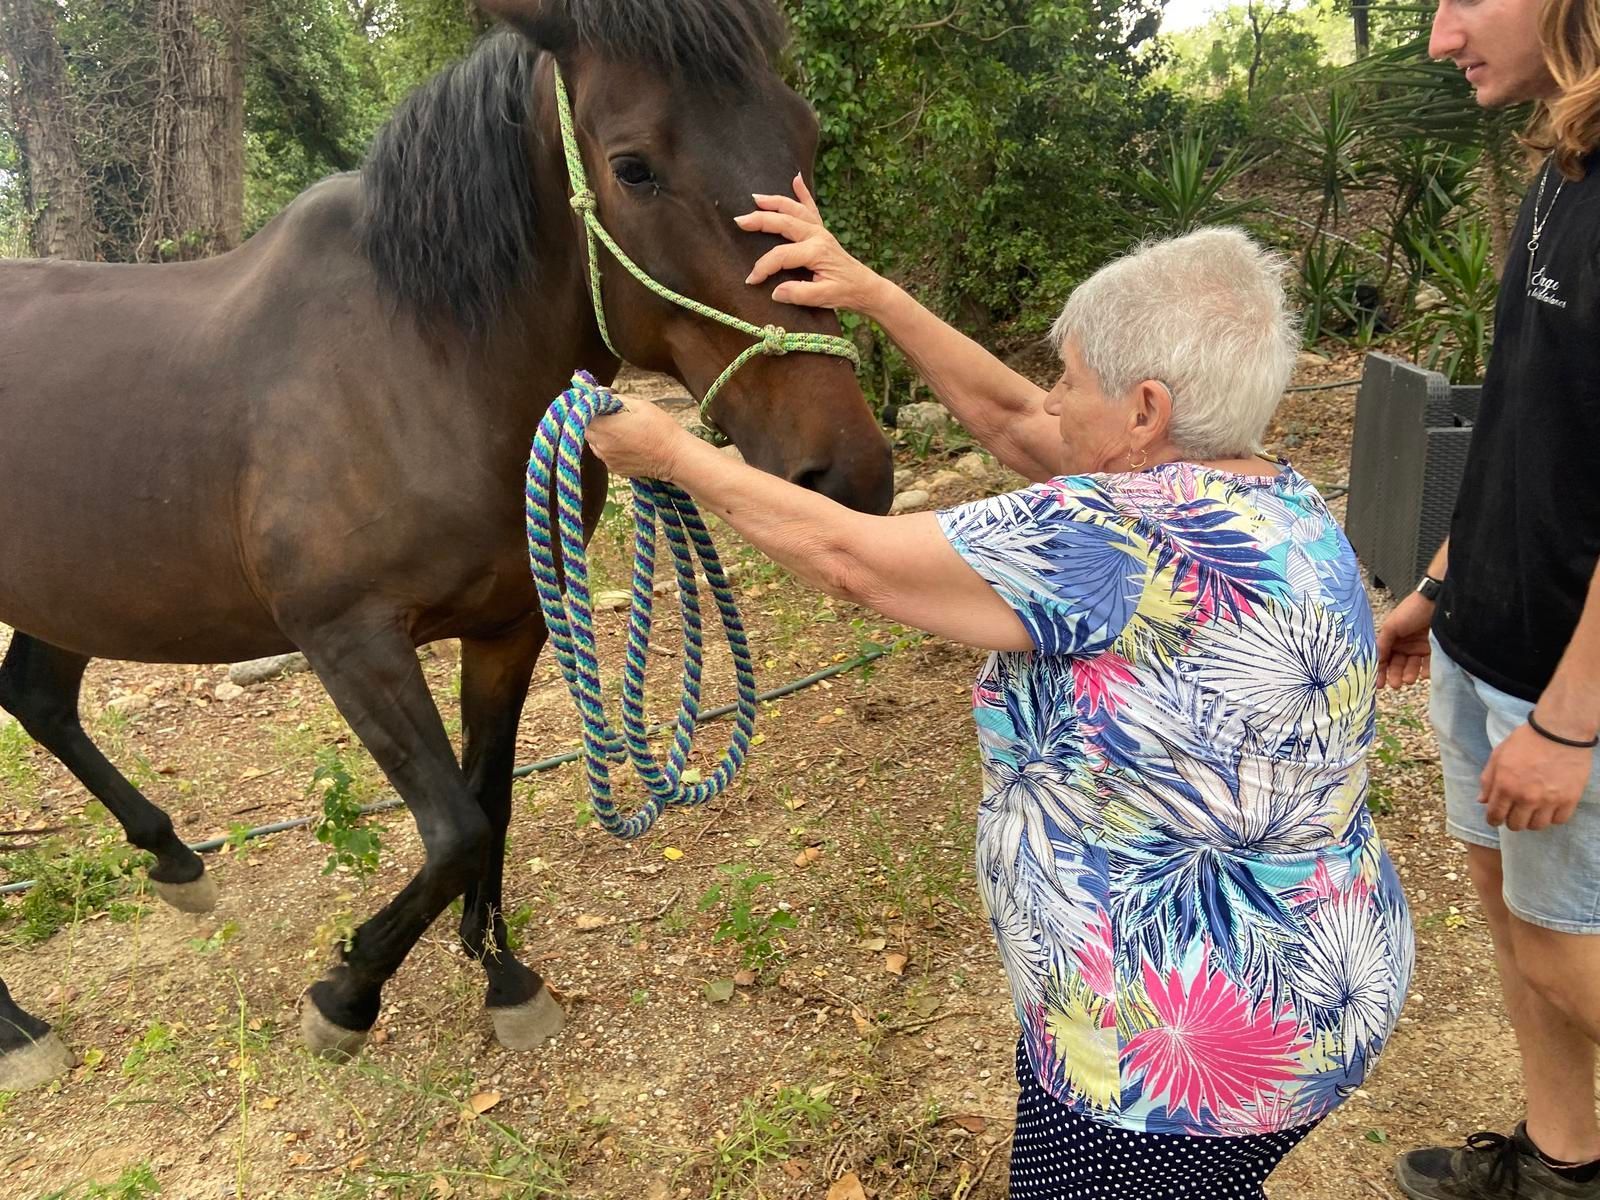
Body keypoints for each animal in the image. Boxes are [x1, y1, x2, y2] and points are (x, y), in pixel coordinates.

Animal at [0, 0, 893, 1091]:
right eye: (633, 167)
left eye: (806, 140)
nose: (849, 474)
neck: (421, 364)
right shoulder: (351, 642)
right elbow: (456, 828)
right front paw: (346, 993)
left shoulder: (511, 628)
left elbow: (491, 804)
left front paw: (503, 977)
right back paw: (18, 1030)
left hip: (72, 591)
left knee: (37, 696)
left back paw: (174, 864)